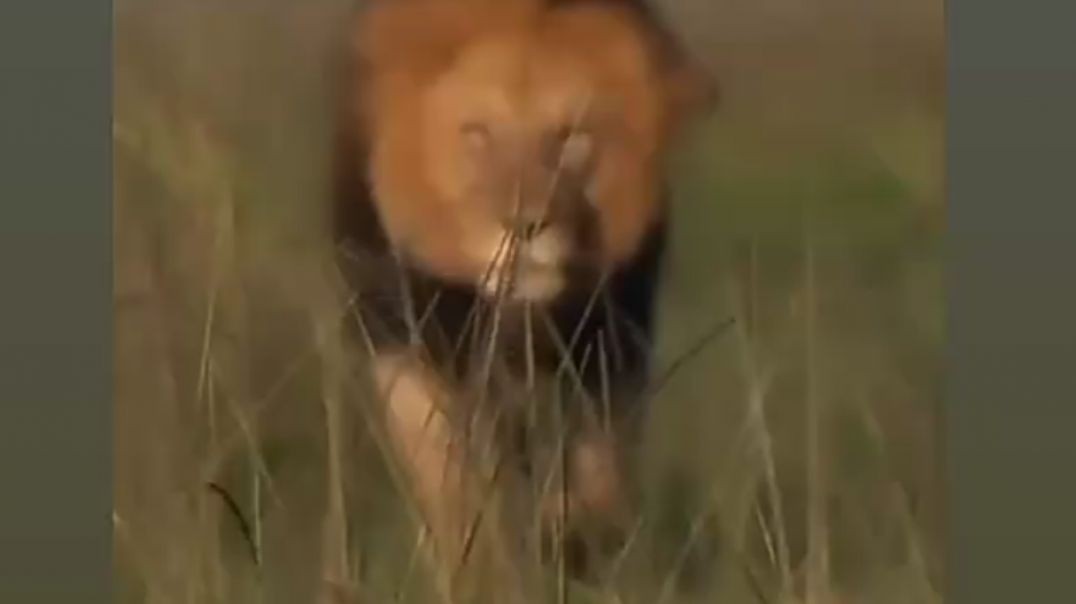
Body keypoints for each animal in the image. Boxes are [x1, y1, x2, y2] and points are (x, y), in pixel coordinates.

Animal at [327, 0, 714, 594]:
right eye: (478, 135)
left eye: (570, 138)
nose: (524, 225)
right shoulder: (412, 342)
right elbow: (453, 486)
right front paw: (480, 571)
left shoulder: (614, 343)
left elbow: (601, 470)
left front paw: (573, 541)